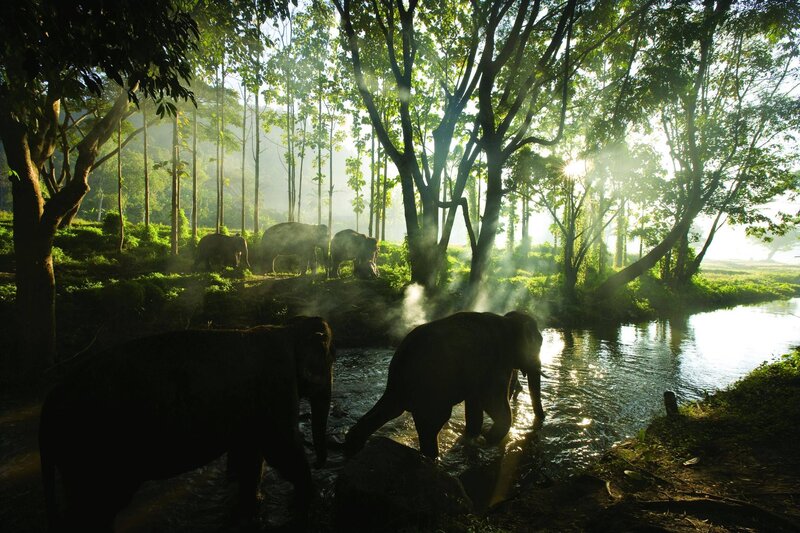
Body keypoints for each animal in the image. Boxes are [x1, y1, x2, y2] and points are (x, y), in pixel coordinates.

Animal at [39, 316, 335, 531]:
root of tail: (50, 400)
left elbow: (250, 453)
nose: (320, 462)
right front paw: (308, 501)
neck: (287, 330)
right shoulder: (276, 384)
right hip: (93, 453)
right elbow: (280, 448)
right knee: (95, 510)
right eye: (330, 362)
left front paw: (251, 508)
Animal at [344, 311, 544, 459]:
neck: (508, 320)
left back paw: (352, 448)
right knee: (432, 423)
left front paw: (475, 438)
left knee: (390, 410)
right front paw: (488, 439)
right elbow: (491, 401)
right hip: (432, 386)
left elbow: (476, 403)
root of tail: (402, 356)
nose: (542, 419)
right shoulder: (498, 360)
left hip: (401, 388)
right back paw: (432, 458)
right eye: (540, 343)